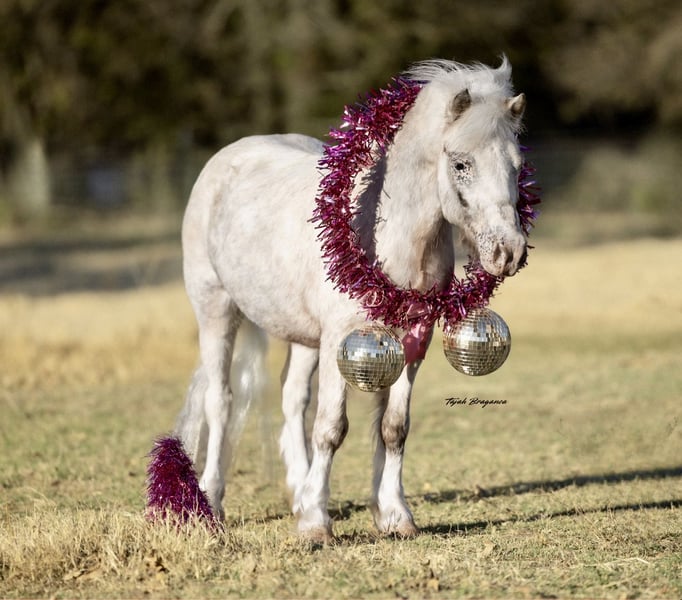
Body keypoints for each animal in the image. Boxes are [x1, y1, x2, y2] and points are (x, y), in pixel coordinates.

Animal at [174, 57, 528, 542]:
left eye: (518, 166)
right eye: (461, 163)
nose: (509, 252)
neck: (384, 232)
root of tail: (226, 159)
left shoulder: (412, 341)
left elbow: (393, 427)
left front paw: (394, 516)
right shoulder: (342, 338)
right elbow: (331, 428)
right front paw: (315, 525)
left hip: (305, 339)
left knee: (292, 399)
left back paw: (298, 492)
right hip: (217, 311)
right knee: (221, 400)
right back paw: (211, 500)